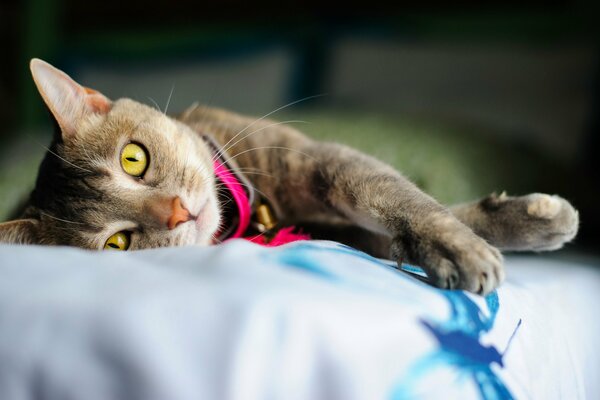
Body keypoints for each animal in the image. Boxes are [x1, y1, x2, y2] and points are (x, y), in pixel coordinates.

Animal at [0, 58, 580, 294]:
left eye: (133, 160)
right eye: (118, 245)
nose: (179, 212)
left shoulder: (318, 162)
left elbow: (400, 197)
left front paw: (521, 223)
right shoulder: (345, 229)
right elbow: (393, 226)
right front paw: (465, 251)